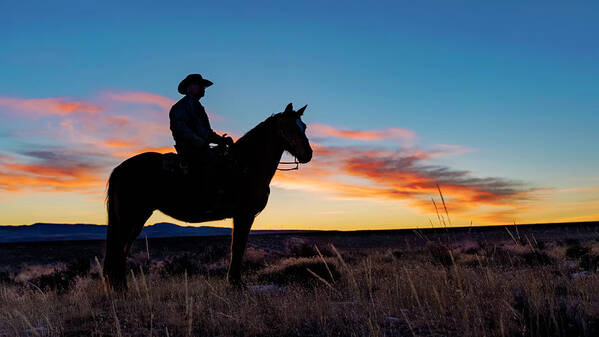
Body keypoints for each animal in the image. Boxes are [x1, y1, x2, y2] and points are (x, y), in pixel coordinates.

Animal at [102, 103, 314, 288]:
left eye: (303, 126)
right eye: (288, 127)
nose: (308, 154)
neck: (246, 165)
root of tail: (120, 169)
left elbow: (237, 247)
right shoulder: (244, 215)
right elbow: (238, 247)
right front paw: (236, 284)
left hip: (138, 217)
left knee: (122, 249)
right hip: (130, 216)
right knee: (118, 248)